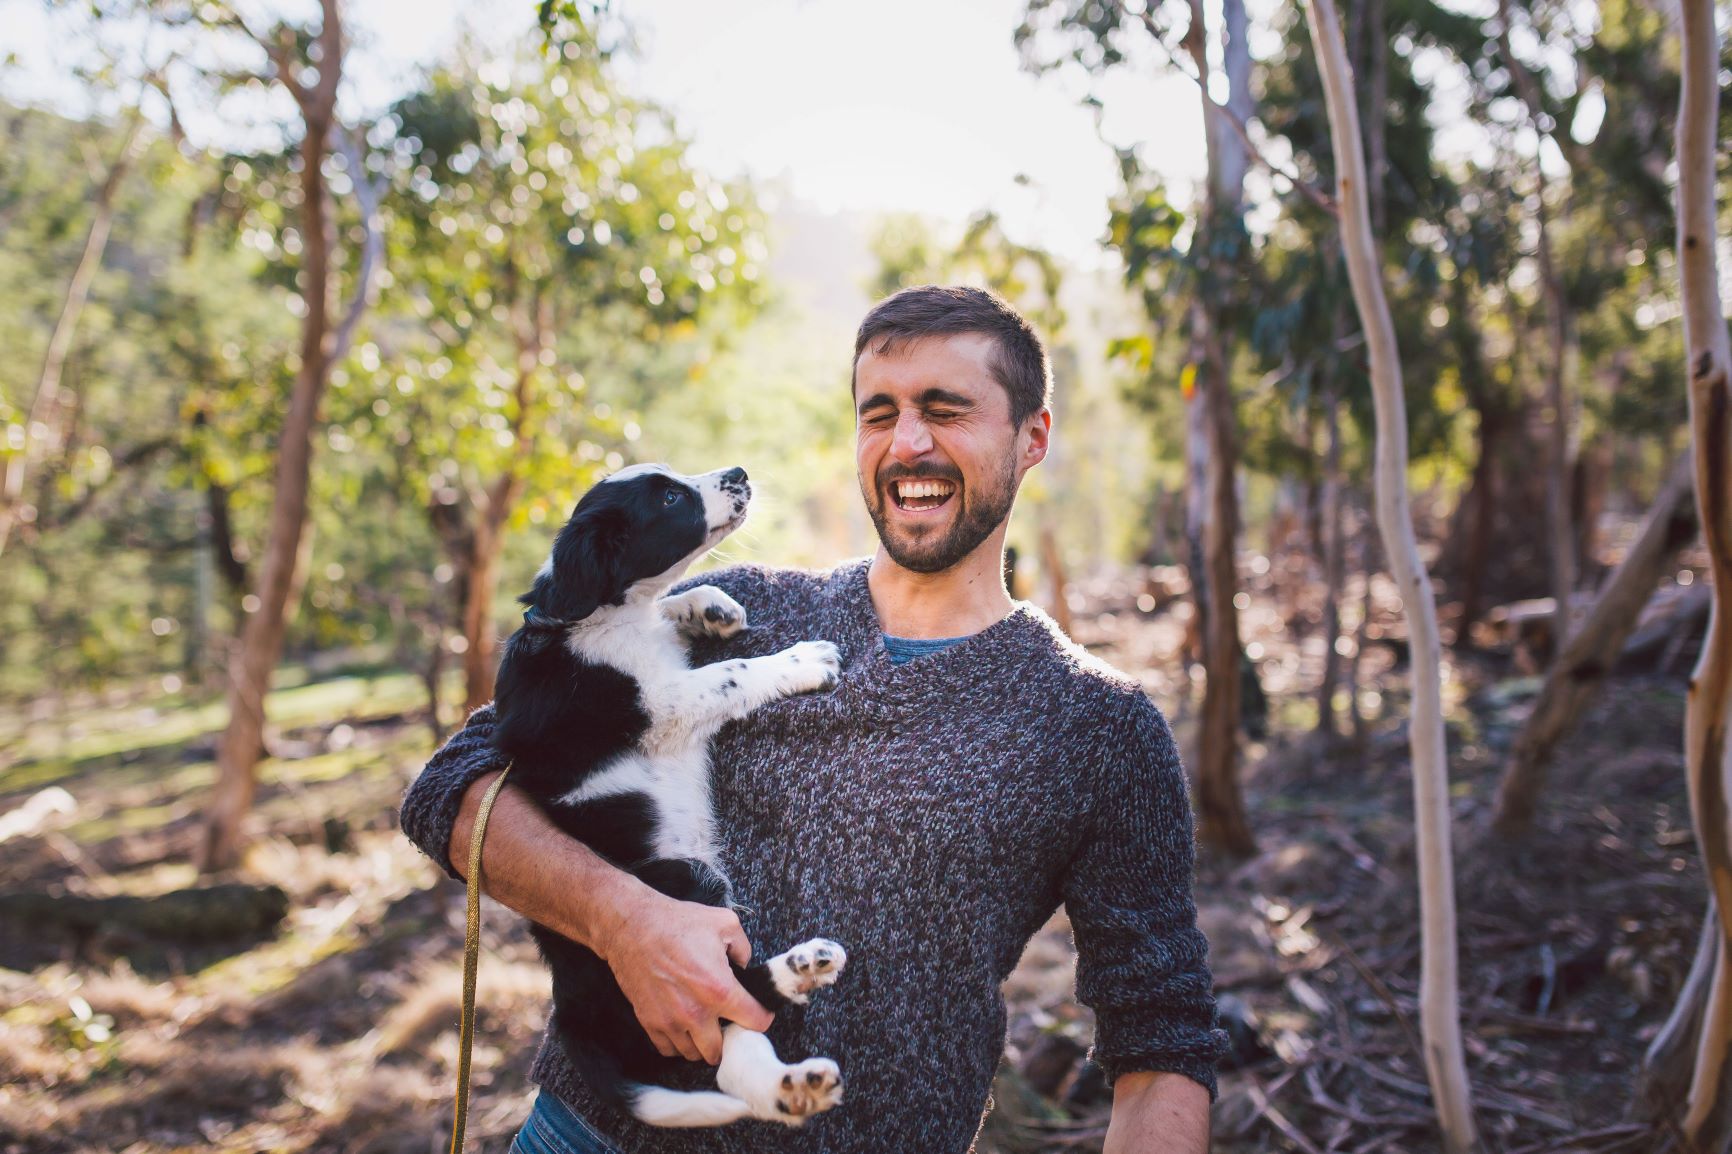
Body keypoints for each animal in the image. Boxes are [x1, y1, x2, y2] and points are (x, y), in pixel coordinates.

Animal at [491, 457, 848, 1122]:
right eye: (668, 499)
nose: (739, 471)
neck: (598, 615)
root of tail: (571, 1012)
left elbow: (681, 606)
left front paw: (711, 606)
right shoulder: (661, 703)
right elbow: (731, 673)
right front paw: (803, 661)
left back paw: (796, 1075)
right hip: (691, 882)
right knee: (732, 1013)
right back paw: (797, 977)